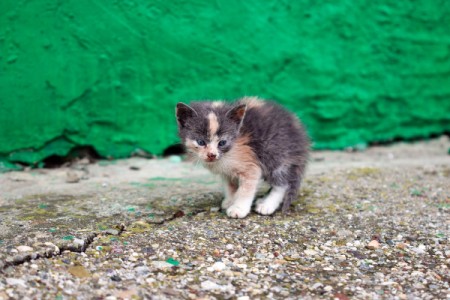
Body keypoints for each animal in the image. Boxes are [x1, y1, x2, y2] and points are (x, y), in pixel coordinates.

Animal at [174, 97, 308, 219]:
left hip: (275, 152)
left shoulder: (251, 166)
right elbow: (230, 186)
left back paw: (267, 204)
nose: (212, 155)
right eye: (201, 142)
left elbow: (245, 189)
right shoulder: (226, 172)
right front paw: (230, 200)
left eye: (222, 142)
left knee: (282, 183)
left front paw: (239, 208)